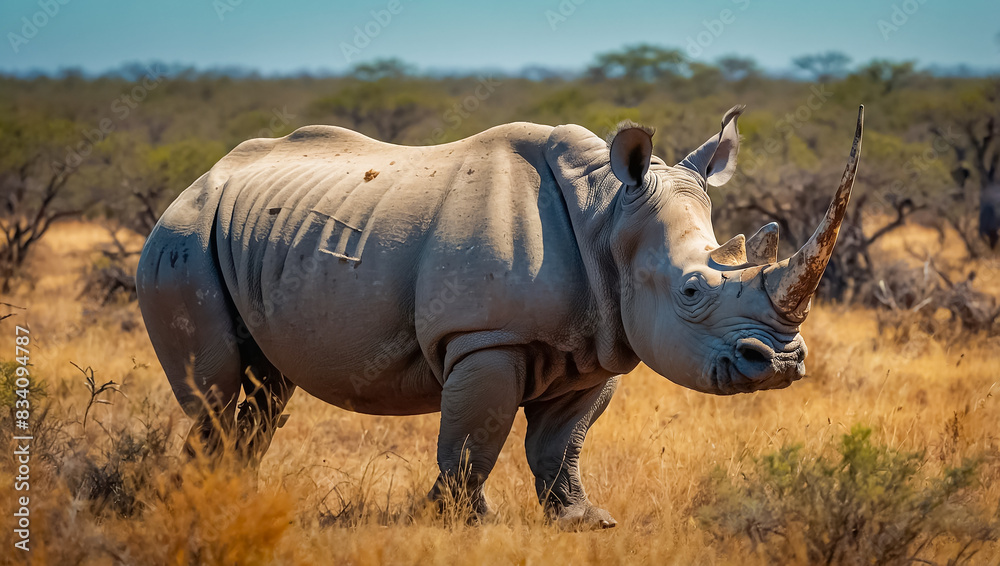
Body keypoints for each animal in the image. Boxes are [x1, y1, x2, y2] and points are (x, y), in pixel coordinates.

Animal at [136, 104, 864, 530]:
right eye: (691, 291)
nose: (784, 362)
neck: (608, 216)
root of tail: (196, 181)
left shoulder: (598, 342)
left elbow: (562, 443)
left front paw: (583, 522)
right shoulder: (483, 337)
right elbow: (473, 434)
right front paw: (465, 522)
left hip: (248, 238)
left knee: (265, 391)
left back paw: (232, 500)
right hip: (182, 239)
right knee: (215, 390)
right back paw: (202, 503)